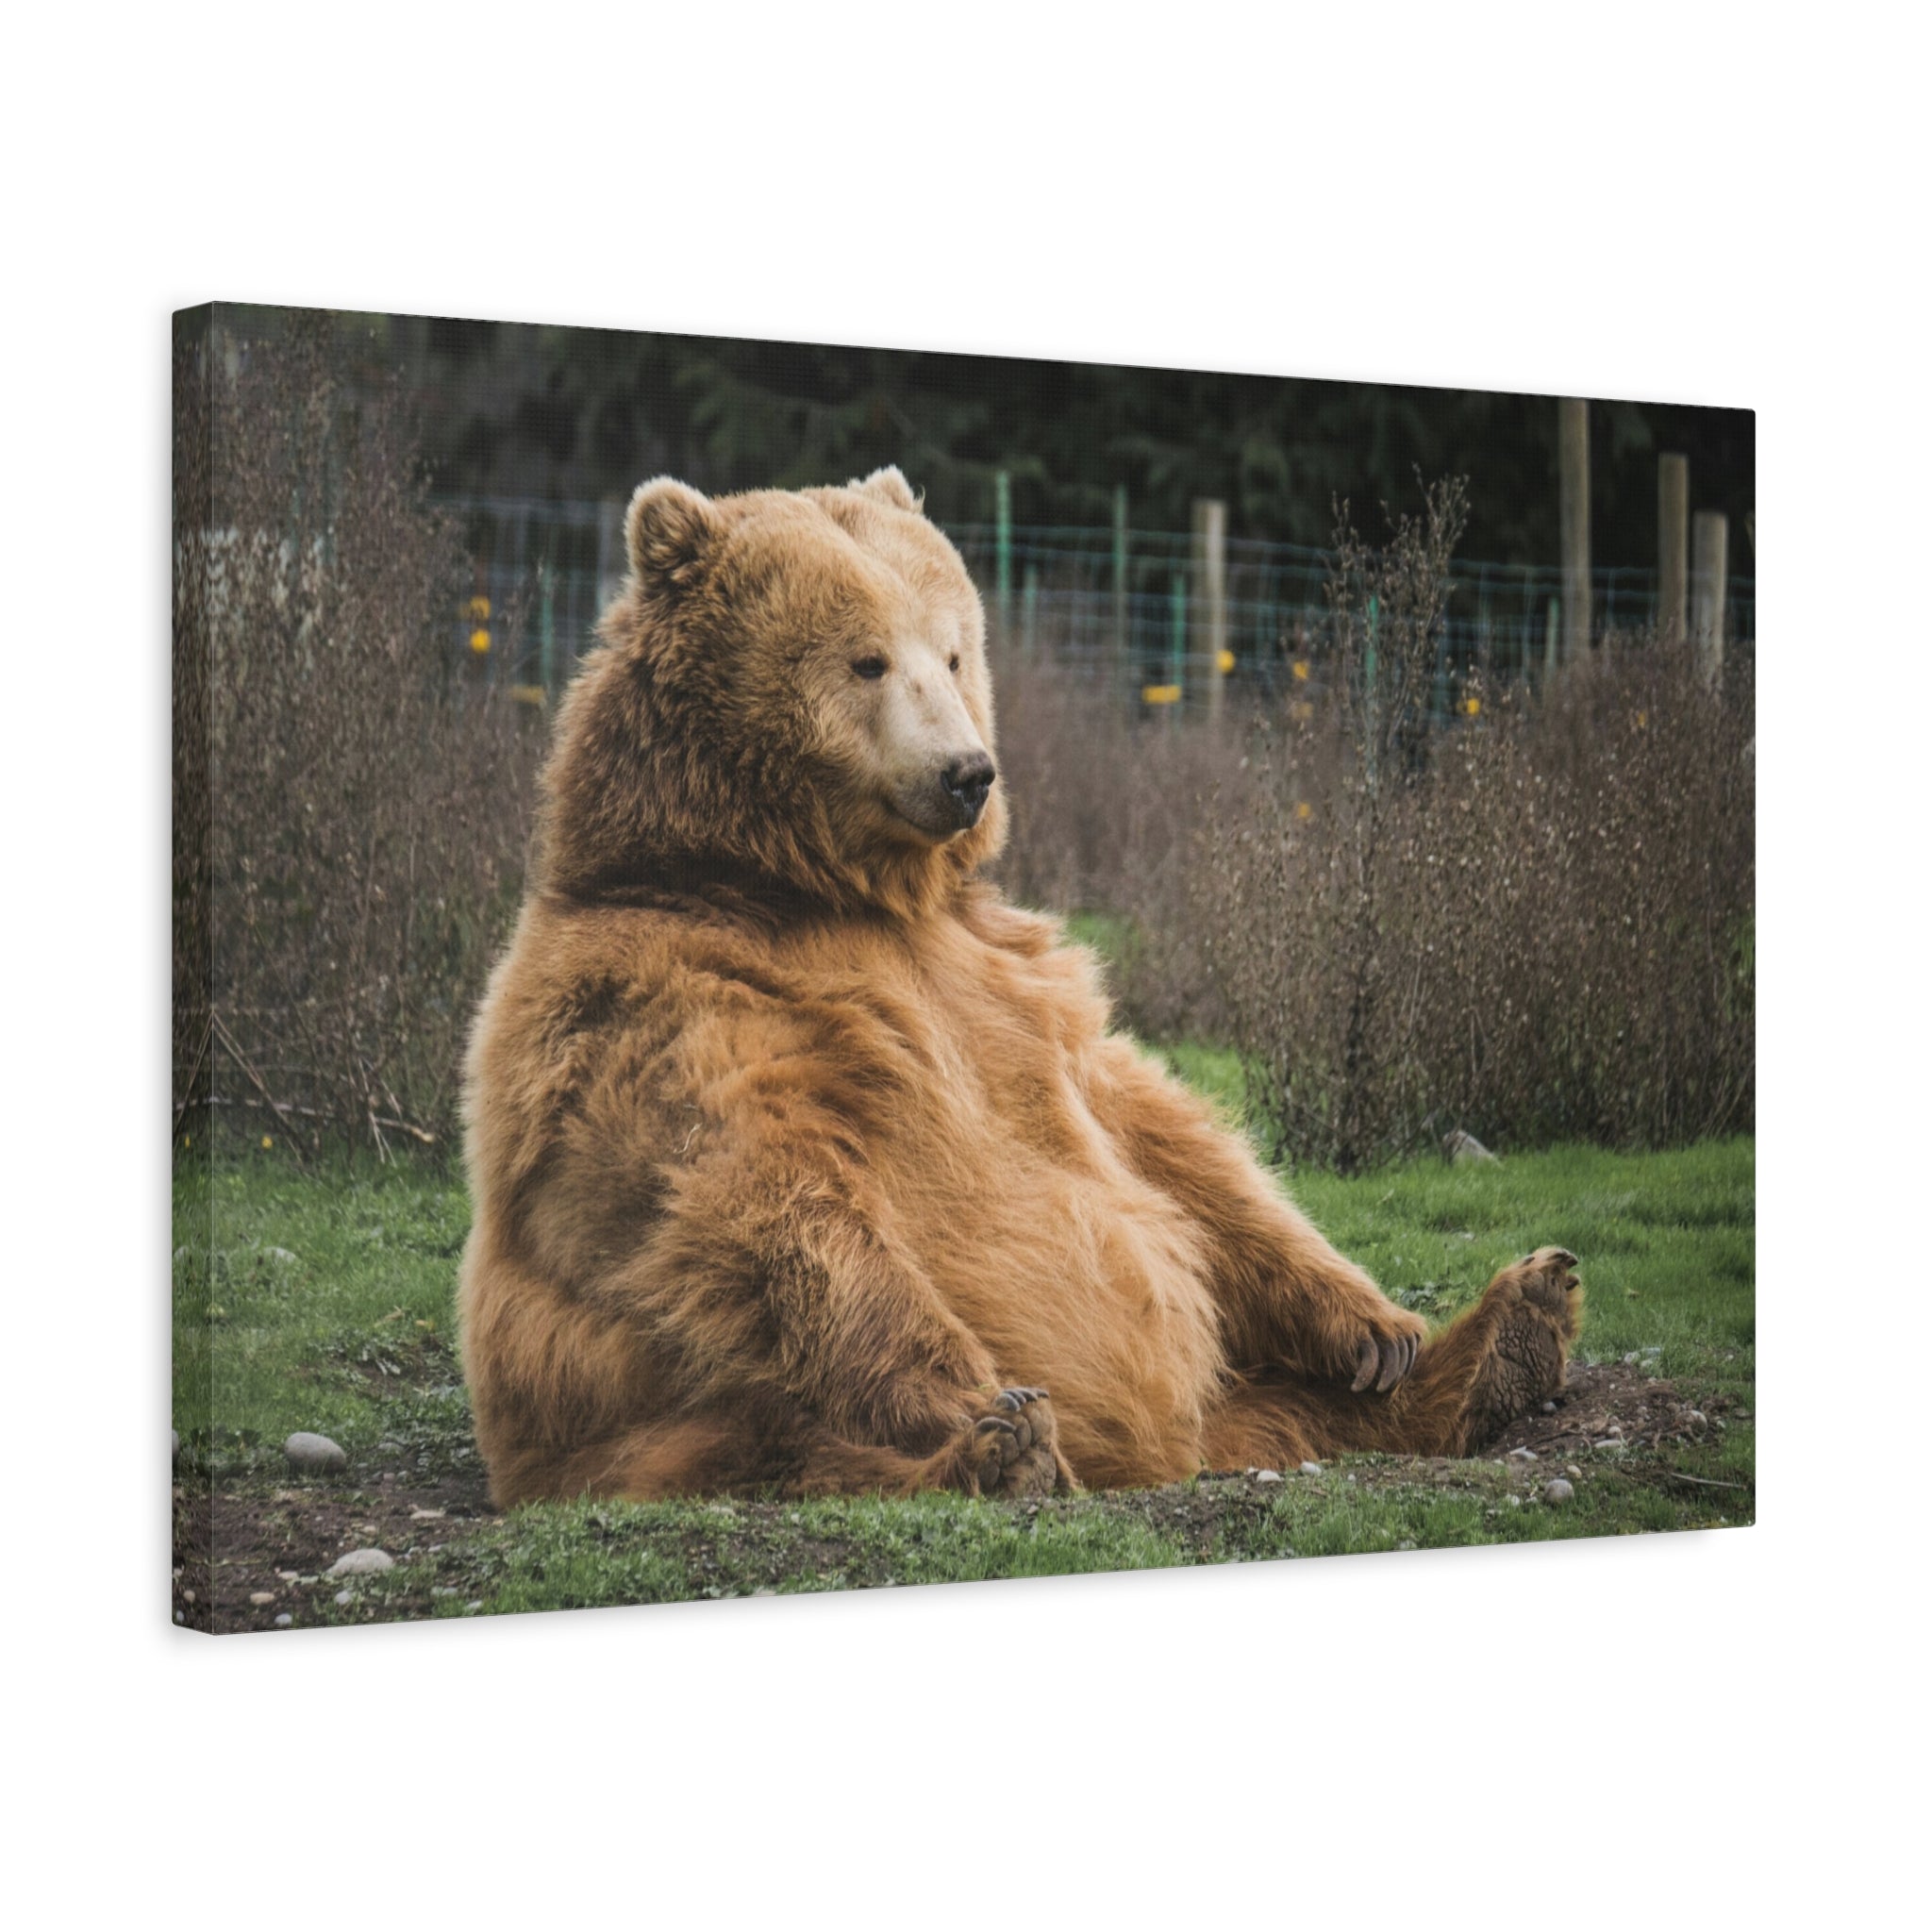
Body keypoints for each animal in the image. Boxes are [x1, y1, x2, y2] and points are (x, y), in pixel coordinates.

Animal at [457, 466, 1581, 1507]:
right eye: (866, 658)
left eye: (953, 648)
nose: (967, 771)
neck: (807, 885)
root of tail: (1166, 1453)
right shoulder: (667, 999)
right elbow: (766, 1199)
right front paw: (981, 1401)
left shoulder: (1009, 976)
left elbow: (1160, 1135)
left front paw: (1374, 1325)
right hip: (648, 1423)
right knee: (785, 1447)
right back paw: (1002, 1455)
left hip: (1236, 1392)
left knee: (1298, 1403)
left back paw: (1506, 1332)